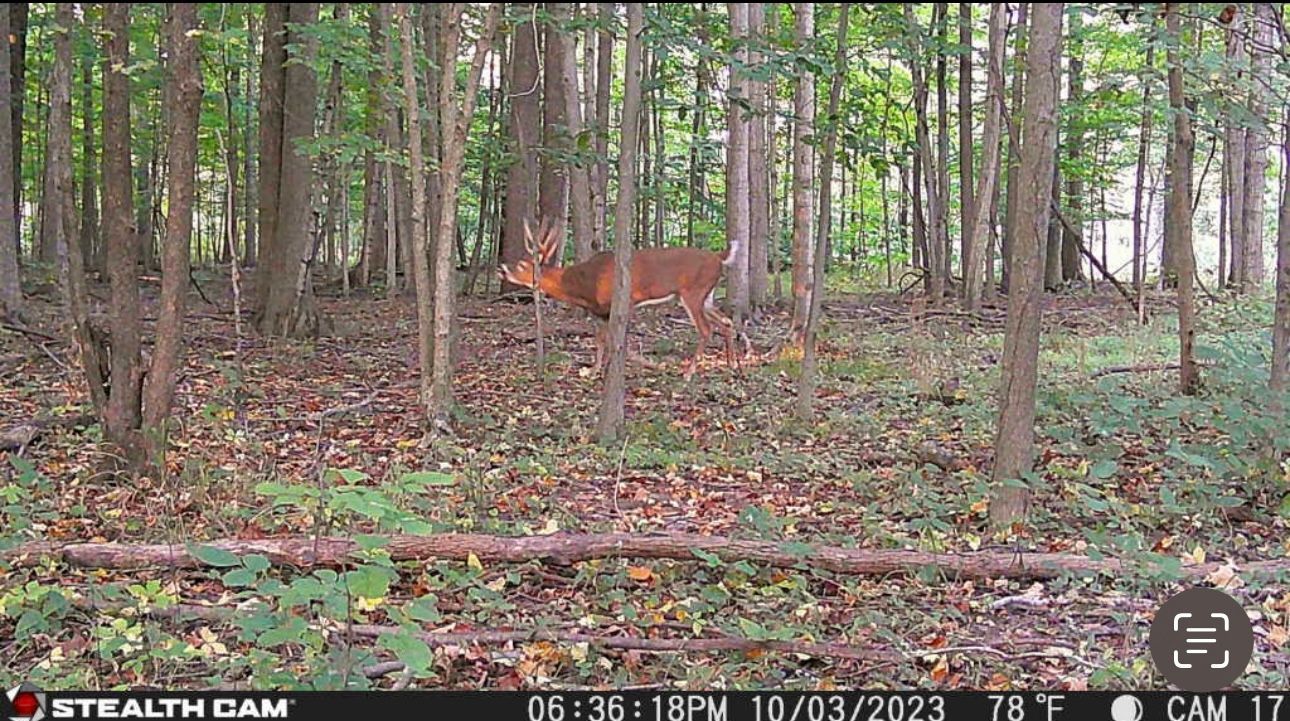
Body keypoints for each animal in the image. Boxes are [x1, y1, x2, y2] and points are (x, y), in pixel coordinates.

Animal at [499, 219, 749, 379]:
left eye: (522, 265)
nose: (501, 269)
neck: (583, 284)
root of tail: (719, 257)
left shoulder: (624, 301)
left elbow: (616, 340)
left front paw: (642, 365)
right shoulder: (600, 310)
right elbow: (601, 339)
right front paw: (594, 370)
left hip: (693, 292)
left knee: (706, 329)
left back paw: (689, 373)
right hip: (707, 296)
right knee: (726, 322)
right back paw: (732, 365)